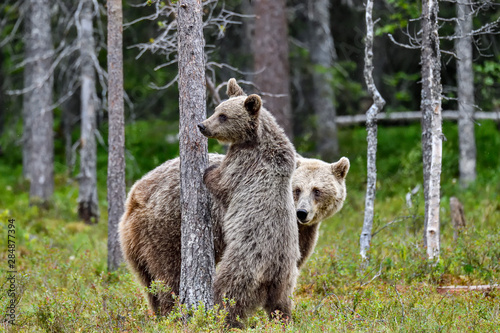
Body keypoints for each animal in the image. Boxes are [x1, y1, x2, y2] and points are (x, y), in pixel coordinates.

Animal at [196, 80, 296, 326]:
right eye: (216, 110)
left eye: (223, 116)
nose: (202, 126)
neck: (255, 138)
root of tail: (271, 272)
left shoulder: (245, 163)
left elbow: (223, 182)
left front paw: (209, 170)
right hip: (286, 280)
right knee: (282, 305)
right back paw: (284, 321)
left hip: (244, 262)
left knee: (228, 294)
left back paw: (224, 319)